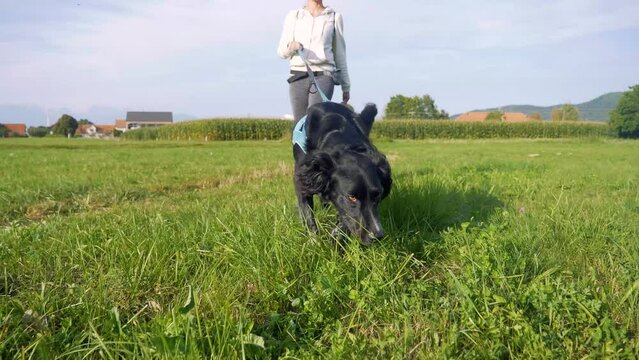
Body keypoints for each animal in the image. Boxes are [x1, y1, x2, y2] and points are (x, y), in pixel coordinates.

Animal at [294, 102, 392, 246]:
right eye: (352, 197)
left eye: (378, 195)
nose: (377, 237)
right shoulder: (303, 180)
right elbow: (308, 216)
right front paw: (314, 243)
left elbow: (345, 216)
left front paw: (337, 237)